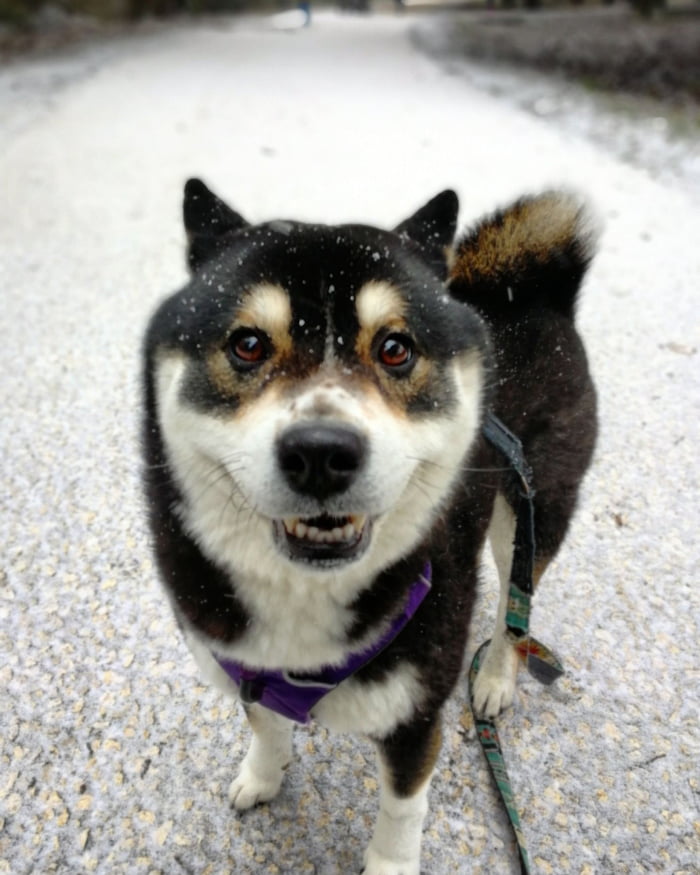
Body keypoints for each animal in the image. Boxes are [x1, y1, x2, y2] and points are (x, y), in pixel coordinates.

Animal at [141, 175, 596, 872]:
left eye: (395, 348)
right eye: (247, 343)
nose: (321, 452)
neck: (304, 604)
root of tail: (539, 294)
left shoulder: (415, 714)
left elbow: (403, 808)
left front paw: (389, 861)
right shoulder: (247, 668)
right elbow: (266, 726)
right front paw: (263, 776)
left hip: (529, 508)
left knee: (514, 601)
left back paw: (495, 676)